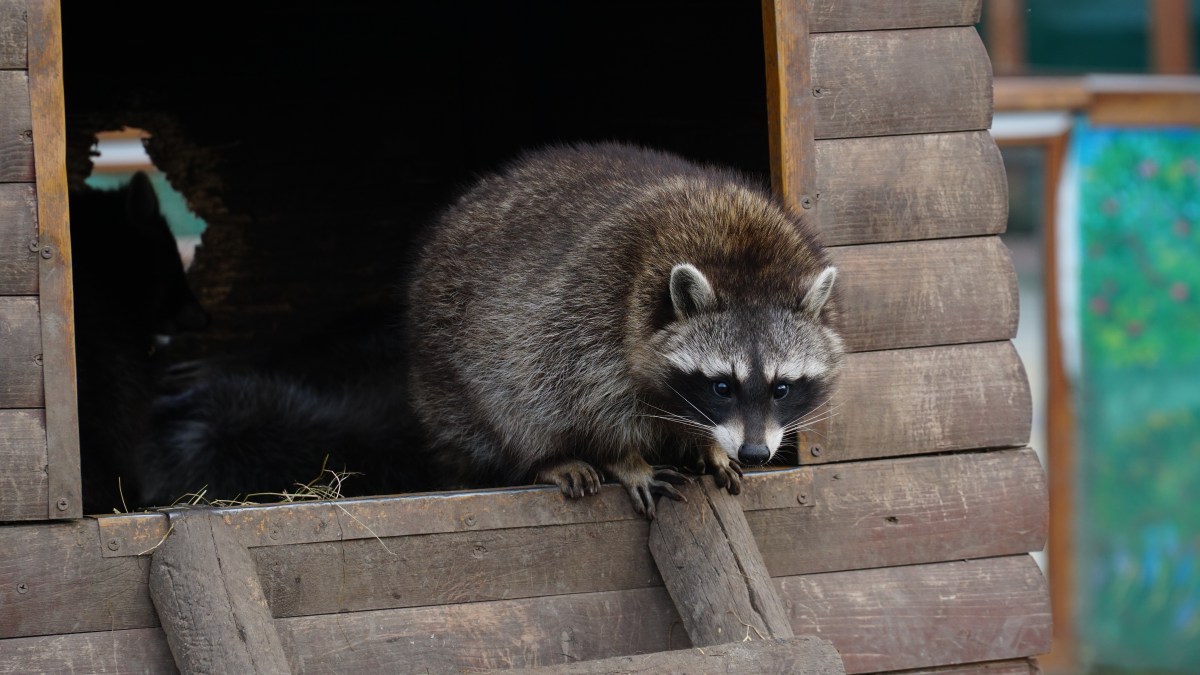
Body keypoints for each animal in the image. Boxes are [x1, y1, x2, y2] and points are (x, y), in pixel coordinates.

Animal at [405, 139, 844, 511]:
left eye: (781, 388)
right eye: (722, 386)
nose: (754, 453)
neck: (743, 257)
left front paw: (709, 445)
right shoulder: (591, 308)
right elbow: (585, 401)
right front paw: (625, 459)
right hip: (447, 358)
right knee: (509, 404)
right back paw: (547, 458)